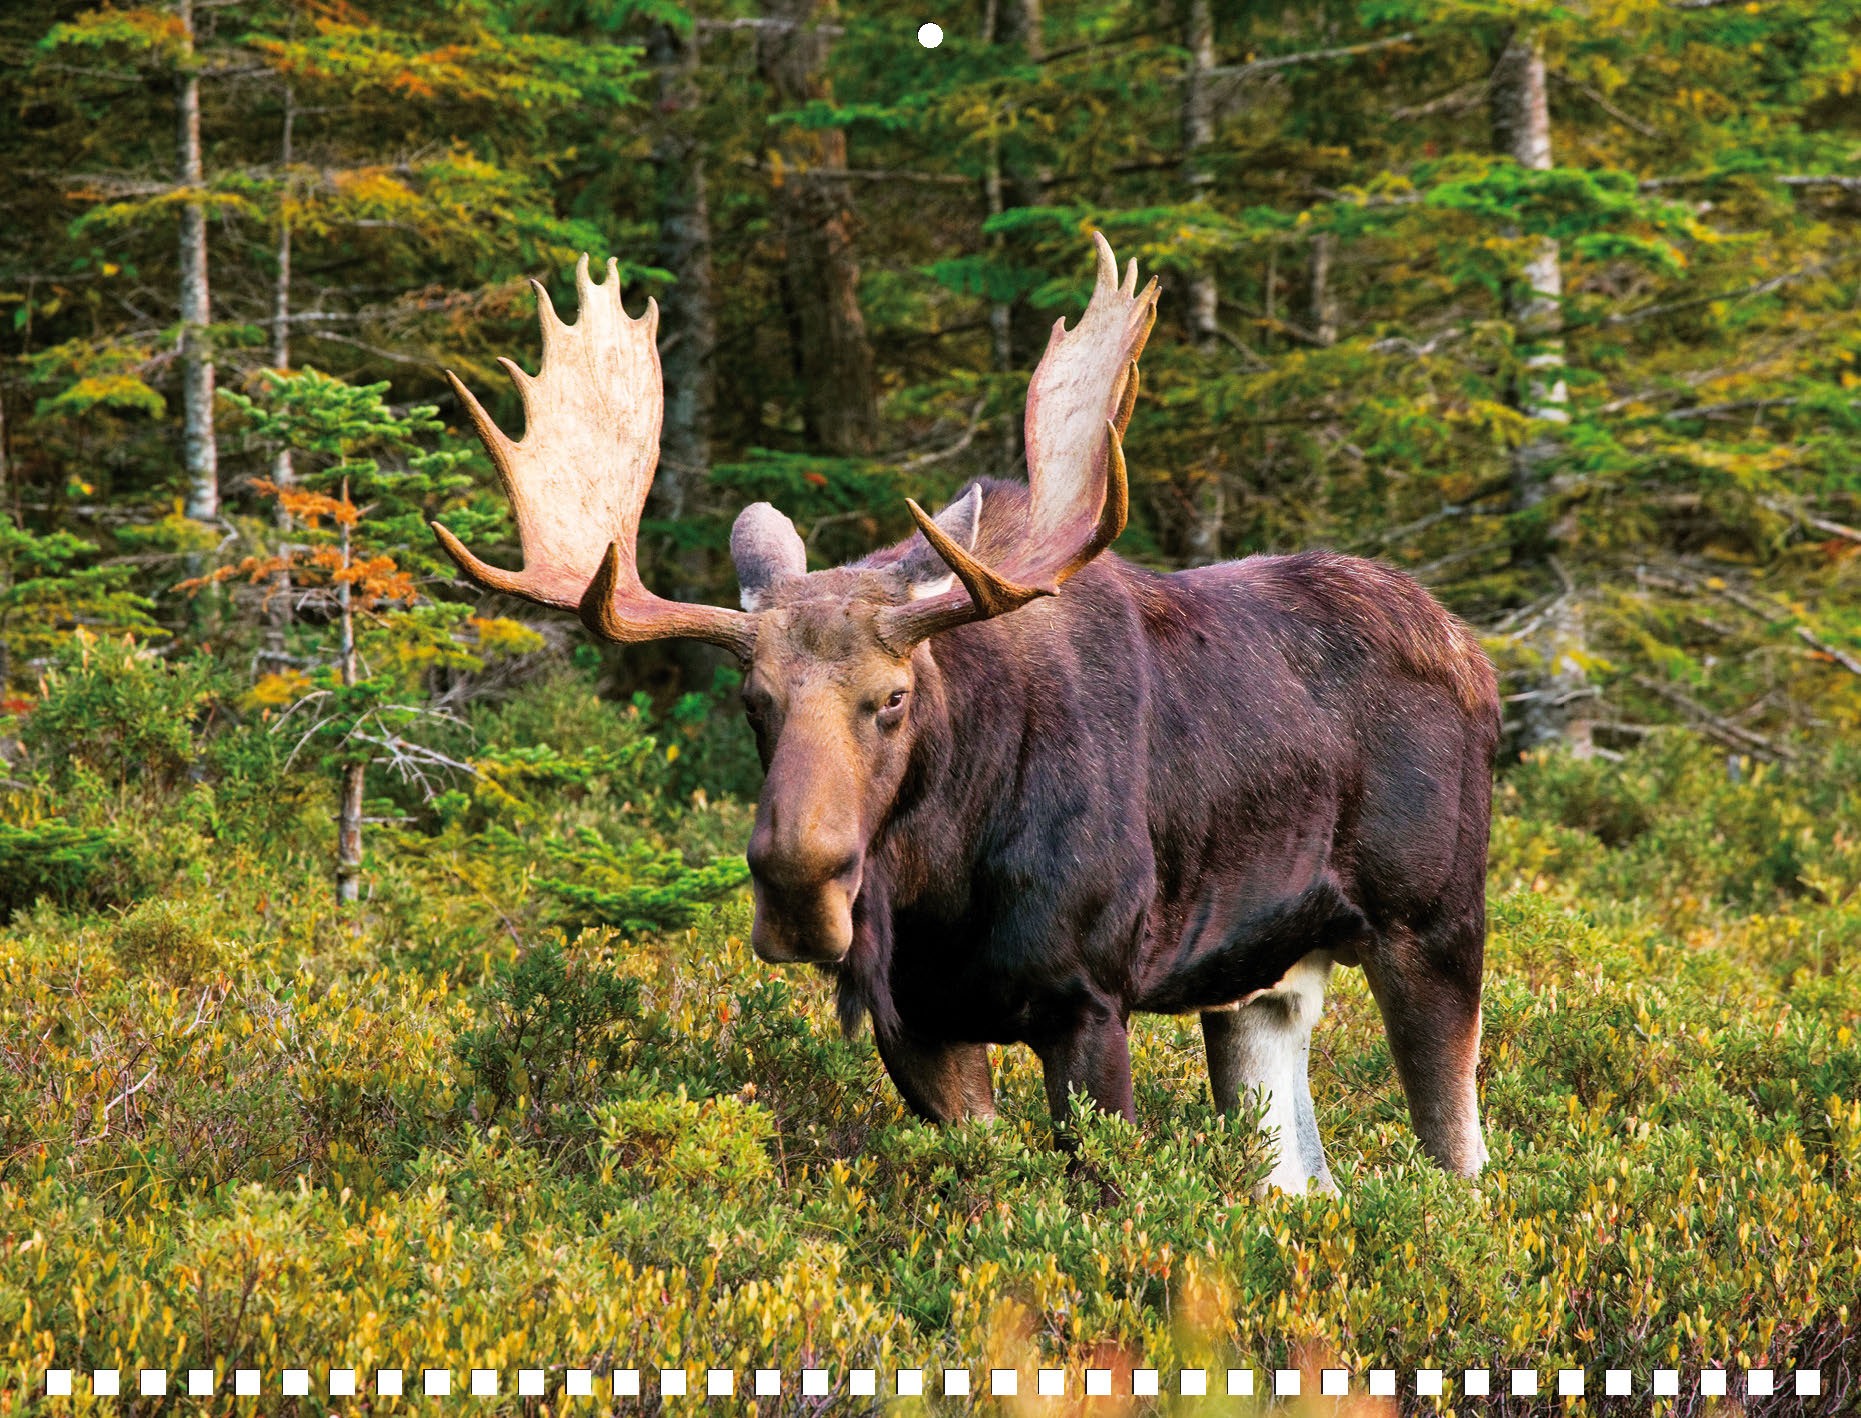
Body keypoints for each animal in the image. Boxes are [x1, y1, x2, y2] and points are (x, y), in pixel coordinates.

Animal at [432, 235, 1498, 1193]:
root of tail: (1473, 655)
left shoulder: (1087, 1002)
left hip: (1432, 928)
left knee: (1463, 1170)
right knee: (1302, 1182)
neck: (938, 887)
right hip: (1257, 980)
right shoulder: (922, 1026)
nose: (799, 887)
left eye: (894, 696)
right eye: (752, 700)